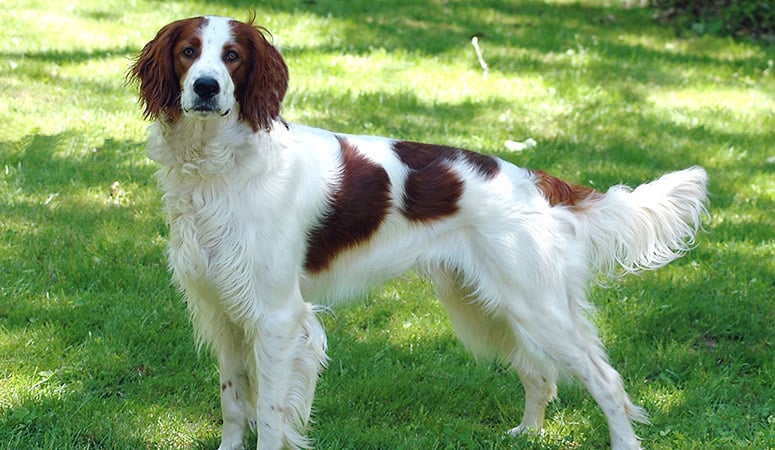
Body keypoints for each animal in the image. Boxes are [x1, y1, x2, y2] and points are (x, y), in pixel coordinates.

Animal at [129, 14, 708, 450]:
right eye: (188, 52)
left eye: (232, 57)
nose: (206, 88)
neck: (219, 168)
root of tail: (531, 179)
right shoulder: (221, 309)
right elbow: (234, 402)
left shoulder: (277, 318)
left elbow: (269, 414)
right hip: (488, 306)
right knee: (539, 372)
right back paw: (527, 433)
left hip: (536, 307)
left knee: (604, 380)